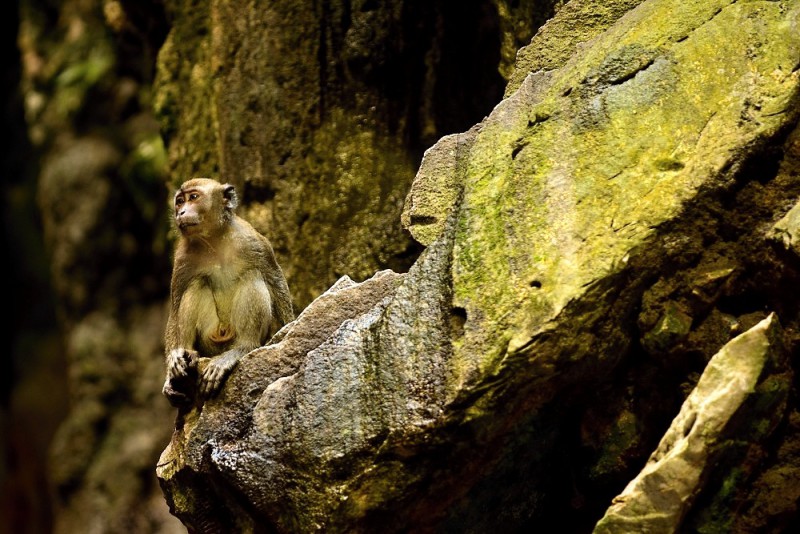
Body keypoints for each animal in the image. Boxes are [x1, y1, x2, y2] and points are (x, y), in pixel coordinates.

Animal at [162, 178, 294, 408]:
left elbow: (275, 282)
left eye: (193, 197)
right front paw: (171, 367)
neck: (214, 240)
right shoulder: (182, 258)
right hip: (210, 341)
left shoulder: (253, 241)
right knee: (196, 284)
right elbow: (176, 305)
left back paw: (243, 348)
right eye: (179, 201)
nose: (181, 212)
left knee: (253, 275)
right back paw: (187, 353)